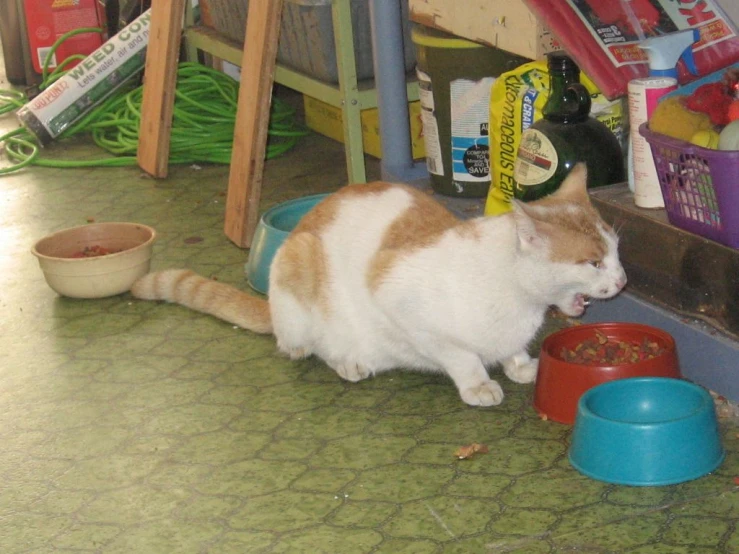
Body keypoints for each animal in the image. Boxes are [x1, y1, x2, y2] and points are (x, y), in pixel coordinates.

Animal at [132, 162, 624, 404]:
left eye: (617, 250)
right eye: (593, 262)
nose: (622, 280)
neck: (519, 301)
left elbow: (511, 350)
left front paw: (520, 365)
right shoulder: (401, 302)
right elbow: (461, 356)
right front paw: (478, 383)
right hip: (298, 270)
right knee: (303, 347)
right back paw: (348, 361)